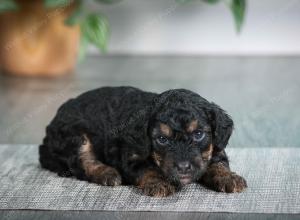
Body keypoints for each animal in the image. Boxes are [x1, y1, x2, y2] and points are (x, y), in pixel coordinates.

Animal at [39, 86, 246, 196]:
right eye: (162, 139)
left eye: (198, 134)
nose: (183, 167)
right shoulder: (130, 155)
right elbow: (147, 169)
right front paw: (159, 183)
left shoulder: (216, 147)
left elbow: (218, 163)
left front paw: (228, 177)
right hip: (75, 135)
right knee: (81, 161)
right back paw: (107, 173)